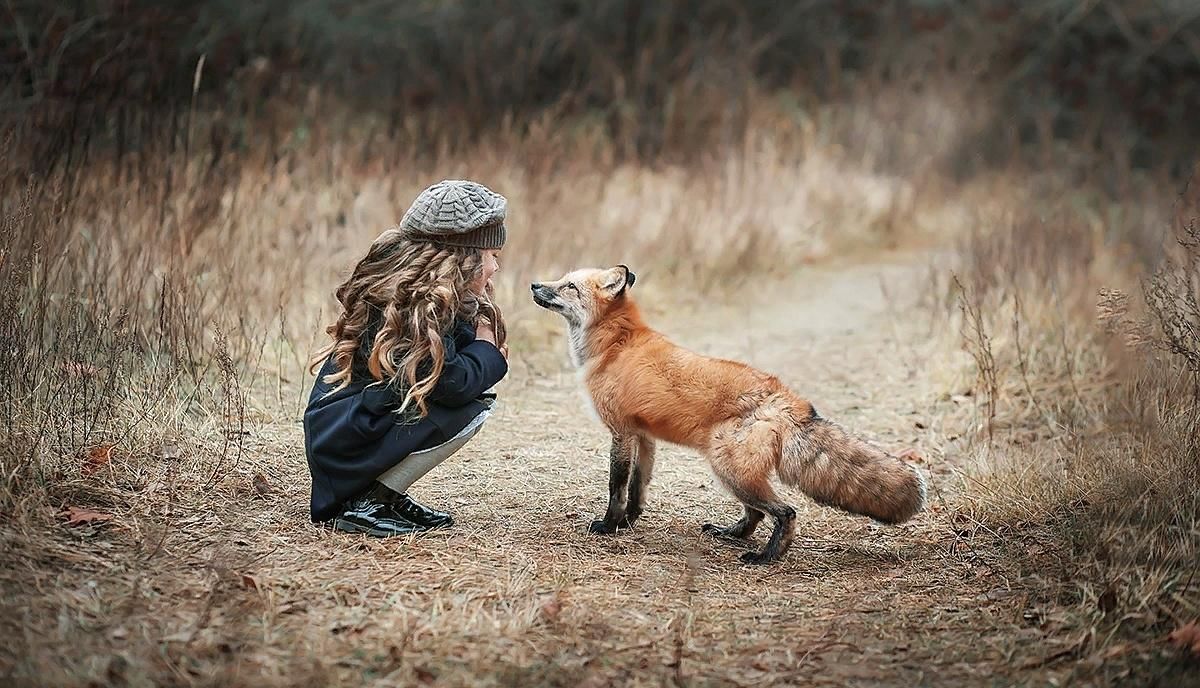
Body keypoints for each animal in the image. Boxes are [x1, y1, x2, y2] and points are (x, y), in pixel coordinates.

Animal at [530, 262, 931, 564]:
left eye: (568, 286)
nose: (534, 283)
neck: (616, 345)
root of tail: (788, 398)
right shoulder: (644, 436)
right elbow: (637, 489)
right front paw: (629, 523)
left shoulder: (621, 432)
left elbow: (616, 486)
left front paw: (609, 526)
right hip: (734, 471)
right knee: (756, 513)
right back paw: (732, 535)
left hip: (729, 468)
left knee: (784, 512)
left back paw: (766, 557)